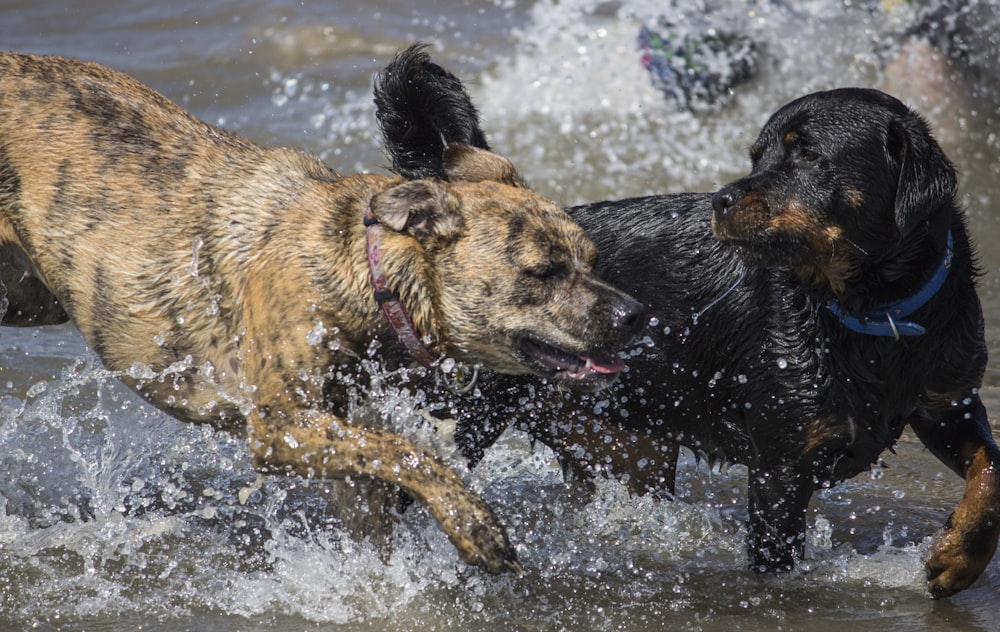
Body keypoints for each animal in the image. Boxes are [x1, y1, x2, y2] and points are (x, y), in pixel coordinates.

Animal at [0, 54, 644, 572]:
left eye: (592, 259)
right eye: (543, 272)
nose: (636, 314)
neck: (365, 268)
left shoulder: (339, 435)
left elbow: (379, 483)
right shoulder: (282, 424)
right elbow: (411, 452)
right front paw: (474, 525)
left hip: (27, 295)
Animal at [376, 44, 1000, 596]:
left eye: (808, 156)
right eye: (757, 157)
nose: (722, 198)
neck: (871, 315)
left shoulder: (950, 404)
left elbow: (989, 473)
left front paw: (957, 559)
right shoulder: (780, 471)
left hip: (626, 448)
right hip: (464, 416)